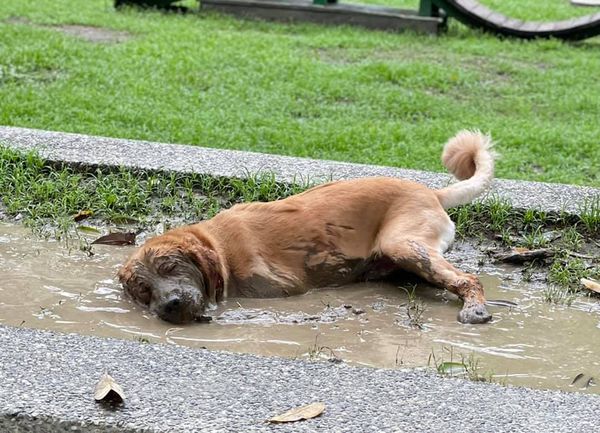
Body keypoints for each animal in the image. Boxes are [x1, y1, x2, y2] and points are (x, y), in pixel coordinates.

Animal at [118, 131, 496, 324]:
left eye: (172, 268)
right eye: (143, 290)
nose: (170, 305)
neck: (219, 248)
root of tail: (431, 192)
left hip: (404, 243)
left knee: (468, 278)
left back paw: (474, 308)